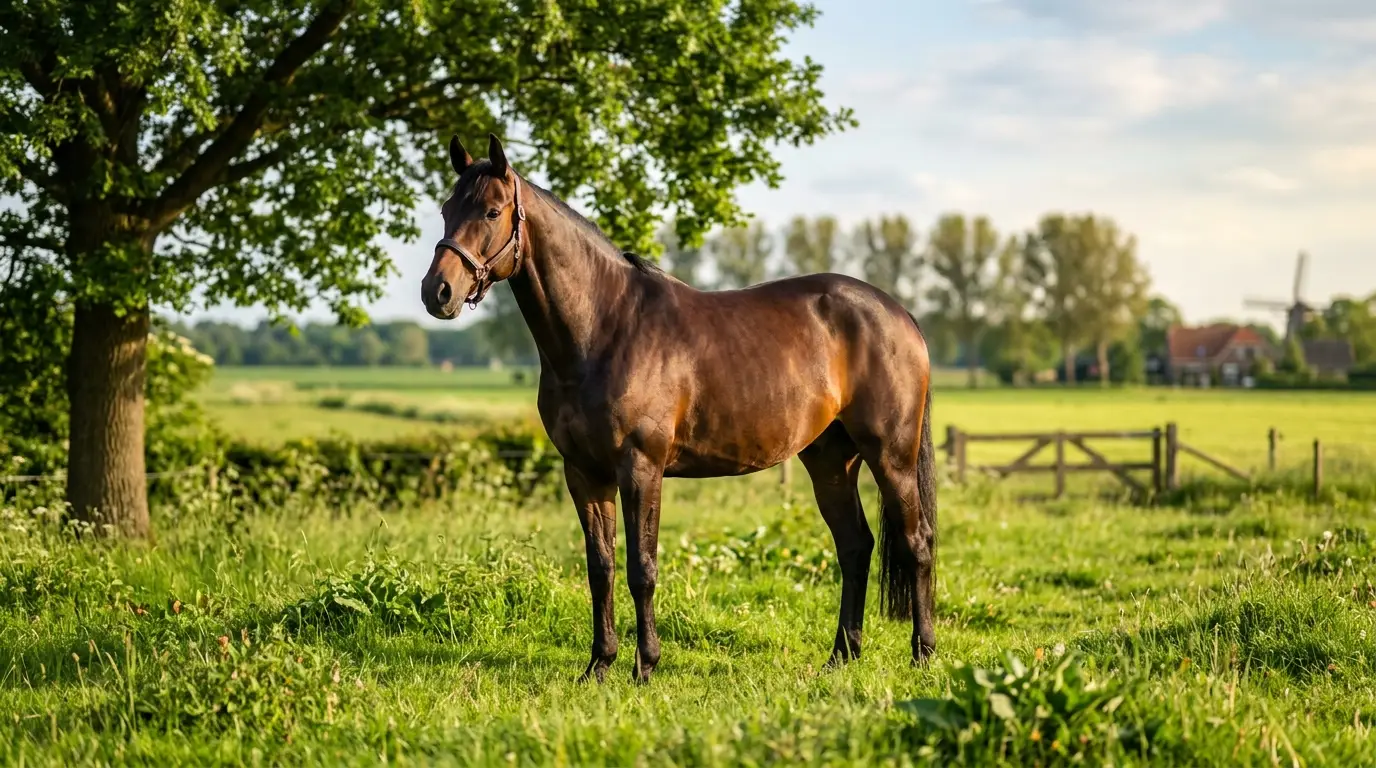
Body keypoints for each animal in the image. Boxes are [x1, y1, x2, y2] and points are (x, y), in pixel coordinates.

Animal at [421, 134, 938, 682]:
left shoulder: (641, 467)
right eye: (446, 209)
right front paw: (599, 665)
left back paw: (923, 653)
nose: (437, 292)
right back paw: (841, 656)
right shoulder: (583, 472)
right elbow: (600, 568)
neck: (605, 328)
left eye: (492, 211)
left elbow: (641, 568)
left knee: (917, 542)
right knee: (856, 546)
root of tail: (898, 313)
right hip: (831, 460)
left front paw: (645, 666)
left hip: (891, 456)